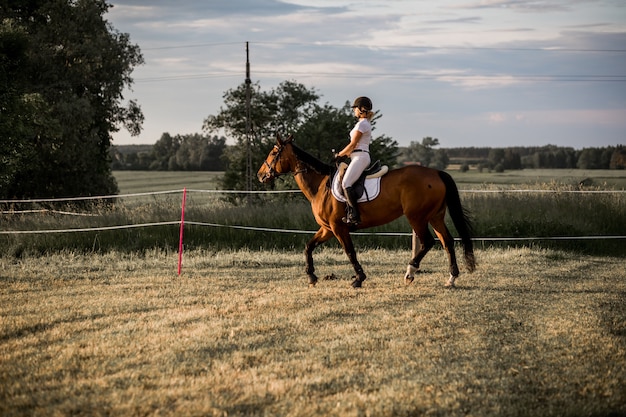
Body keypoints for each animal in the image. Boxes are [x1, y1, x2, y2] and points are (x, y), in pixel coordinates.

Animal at [255, 135, 472, 288]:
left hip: (417, 217)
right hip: (435, 216)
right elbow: (308, 246)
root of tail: (436, 172)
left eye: (273, 153)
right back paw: (451, 278)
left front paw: (358, 279)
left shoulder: (338, 227)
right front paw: (311, 276)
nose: (260, 175)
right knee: (447, 241)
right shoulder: (327, 228)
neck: (320, 186)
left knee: (428, 242)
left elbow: (350, 252)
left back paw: (410, 273)